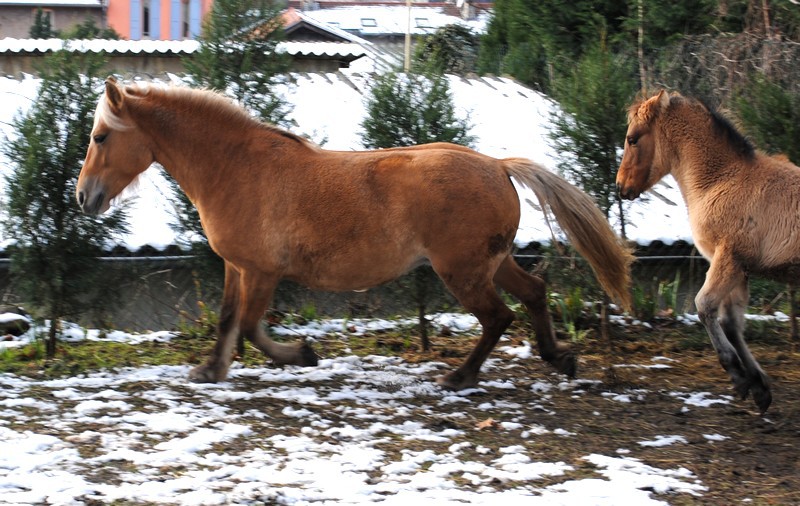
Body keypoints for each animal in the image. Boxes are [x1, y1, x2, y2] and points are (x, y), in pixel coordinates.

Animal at [79, 77, 632, 390]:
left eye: (100, 137)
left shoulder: (261, 270)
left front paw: (299, 355)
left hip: (463, 271)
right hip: (491, 263)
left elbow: (252, 326)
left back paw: (460, 376)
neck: (235, 168)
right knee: (535, 293)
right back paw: (559, 358)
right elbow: (228, 320)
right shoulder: (238, 266)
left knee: (499, 317)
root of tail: (497, 166)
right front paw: (211, 371)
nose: (85, 197)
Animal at [620, 90, 800, 416]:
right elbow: (731, 322)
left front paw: (738, 375)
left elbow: (704, 306)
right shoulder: (738, 268)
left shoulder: (728, 259)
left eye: (632, 139)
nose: (620, 187)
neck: (722, 178)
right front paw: (758, 386)